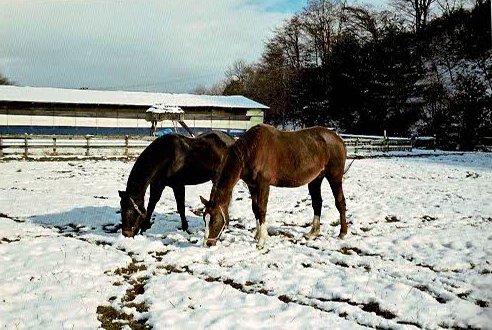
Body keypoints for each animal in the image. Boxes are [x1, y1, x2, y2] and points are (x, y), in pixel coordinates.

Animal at [199, 124, 346, 248]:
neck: (250, 151)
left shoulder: (263, 185)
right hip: (316, 179)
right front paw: (257, 235)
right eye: (204, 218)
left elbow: (262, 209)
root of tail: (338, 139)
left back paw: (342, 232)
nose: (208, 243)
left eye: (215, 220)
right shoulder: (252, 186)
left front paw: (261, 241)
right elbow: (255, 209)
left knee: (340, 202)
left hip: (335, 177)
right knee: (317, 203)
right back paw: (313, 232)